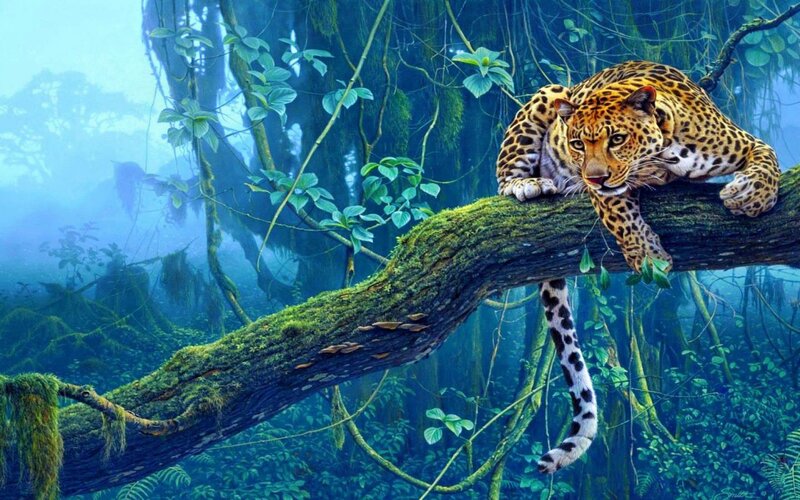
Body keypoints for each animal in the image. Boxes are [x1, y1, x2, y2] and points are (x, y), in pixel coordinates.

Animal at [495, 60, 780, 474]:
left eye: (616, 138)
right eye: (577, 143)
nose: (593, 176)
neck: (667, 152)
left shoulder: (742, 141)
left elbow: (767, 156)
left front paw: (751, 196)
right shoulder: (606, 192)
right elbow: (619, 213)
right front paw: (648, 256)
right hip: (549, 93)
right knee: (504, 178)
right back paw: (528, 184)